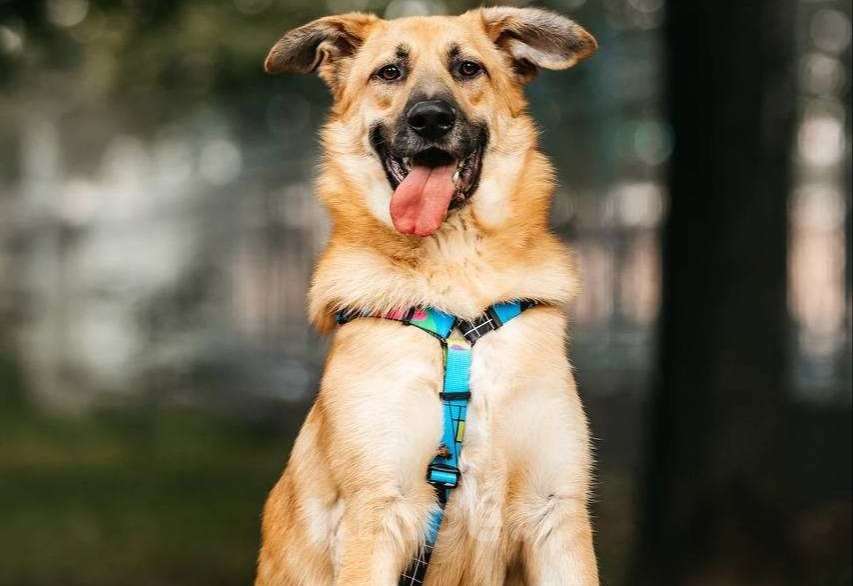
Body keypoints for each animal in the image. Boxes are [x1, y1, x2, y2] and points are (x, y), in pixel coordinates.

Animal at [256, 7, 598, 585]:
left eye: (468, 67)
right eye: (389, 73)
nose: (431, 119)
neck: (458, 297)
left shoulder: (558, 514)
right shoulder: (377, 512)